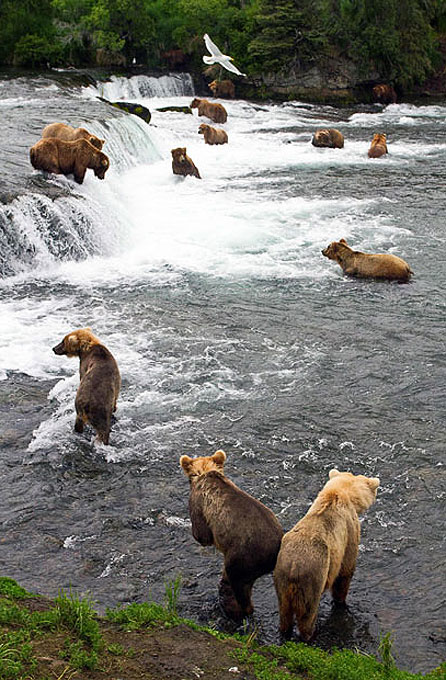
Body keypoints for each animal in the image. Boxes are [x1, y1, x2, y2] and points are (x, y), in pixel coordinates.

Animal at [179, 448, 280, 620]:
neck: (205, 472)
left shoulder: (198, 504)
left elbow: (202, 534)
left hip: (242, 557)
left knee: (236, 584)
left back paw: (233, 609)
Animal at [274, 470, 378, 640]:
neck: (340, 493)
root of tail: (294, 567)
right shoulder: (349, 531)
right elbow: (345, 571)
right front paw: (340, 601)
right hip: (312, 579)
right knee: (307, 614)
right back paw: (310, 634)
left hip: (281, 579)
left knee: (284, 613)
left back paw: (285, 632)